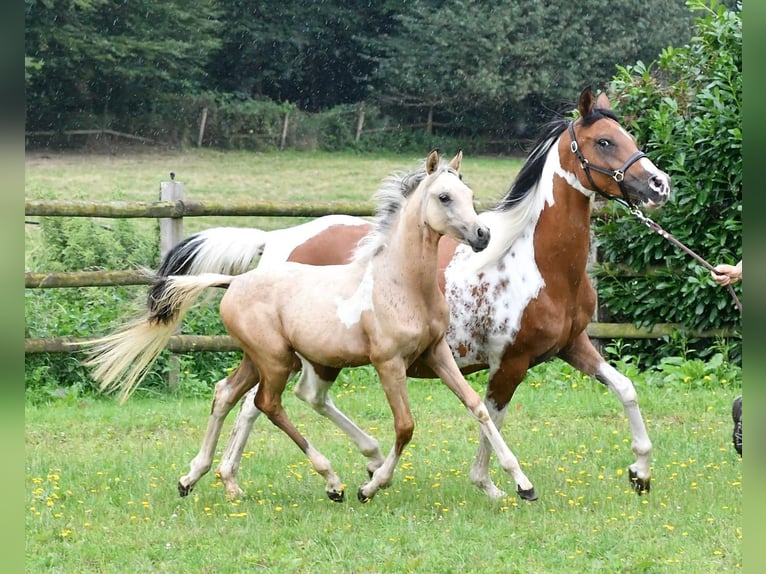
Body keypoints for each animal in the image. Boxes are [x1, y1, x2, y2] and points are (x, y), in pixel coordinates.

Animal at [85, 149, 543, 503]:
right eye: (444, 196)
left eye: (470, 194)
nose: (482, 235)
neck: (400, 283)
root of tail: (235, 282)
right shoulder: (388, 363)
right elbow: (406, 426)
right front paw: (371, 486)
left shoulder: (437, 352)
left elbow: (477, 406)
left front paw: (523, 484)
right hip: (275, 360)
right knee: (268, 405)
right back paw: (334, 482)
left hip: (259, 358)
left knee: (226, 395)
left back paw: (198, 479)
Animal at [155, 87, 671, 501]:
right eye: (604, 141)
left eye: (625, 134)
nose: (659, 184)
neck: (534, 259)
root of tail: (276, 241)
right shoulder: (511, 362)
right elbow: (492, 416)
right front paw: (494, 484)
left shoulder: (572, 345)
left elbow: (625, 389)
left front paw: (640, 472)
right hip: (296, 353)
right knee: (261, 403)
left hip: (312, 356)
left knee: (273, 398)